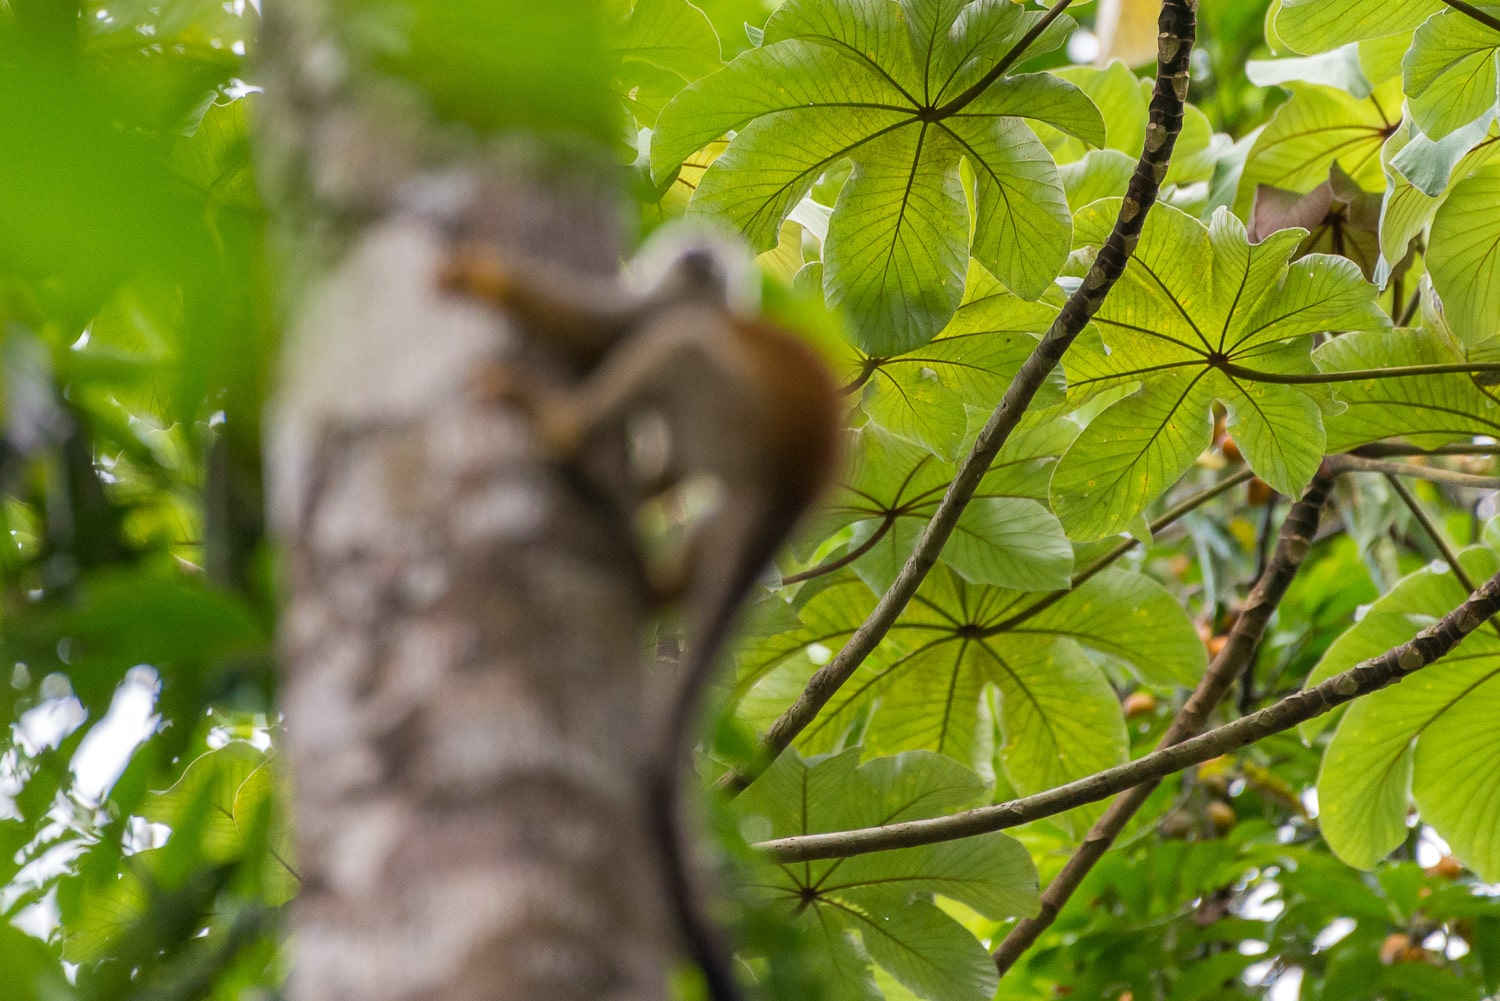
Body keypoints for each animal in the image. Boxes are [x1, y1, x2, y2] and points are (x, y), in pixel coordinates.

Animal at [438, 232, 844, 1001]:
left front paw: (488, 278)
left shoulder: (662, 307)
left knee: (678, 347)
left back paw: (563, 432)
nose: (696, 251)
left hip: (730, 411)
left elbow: (598, 328)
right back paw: (656, 577)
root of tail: (798, 478)